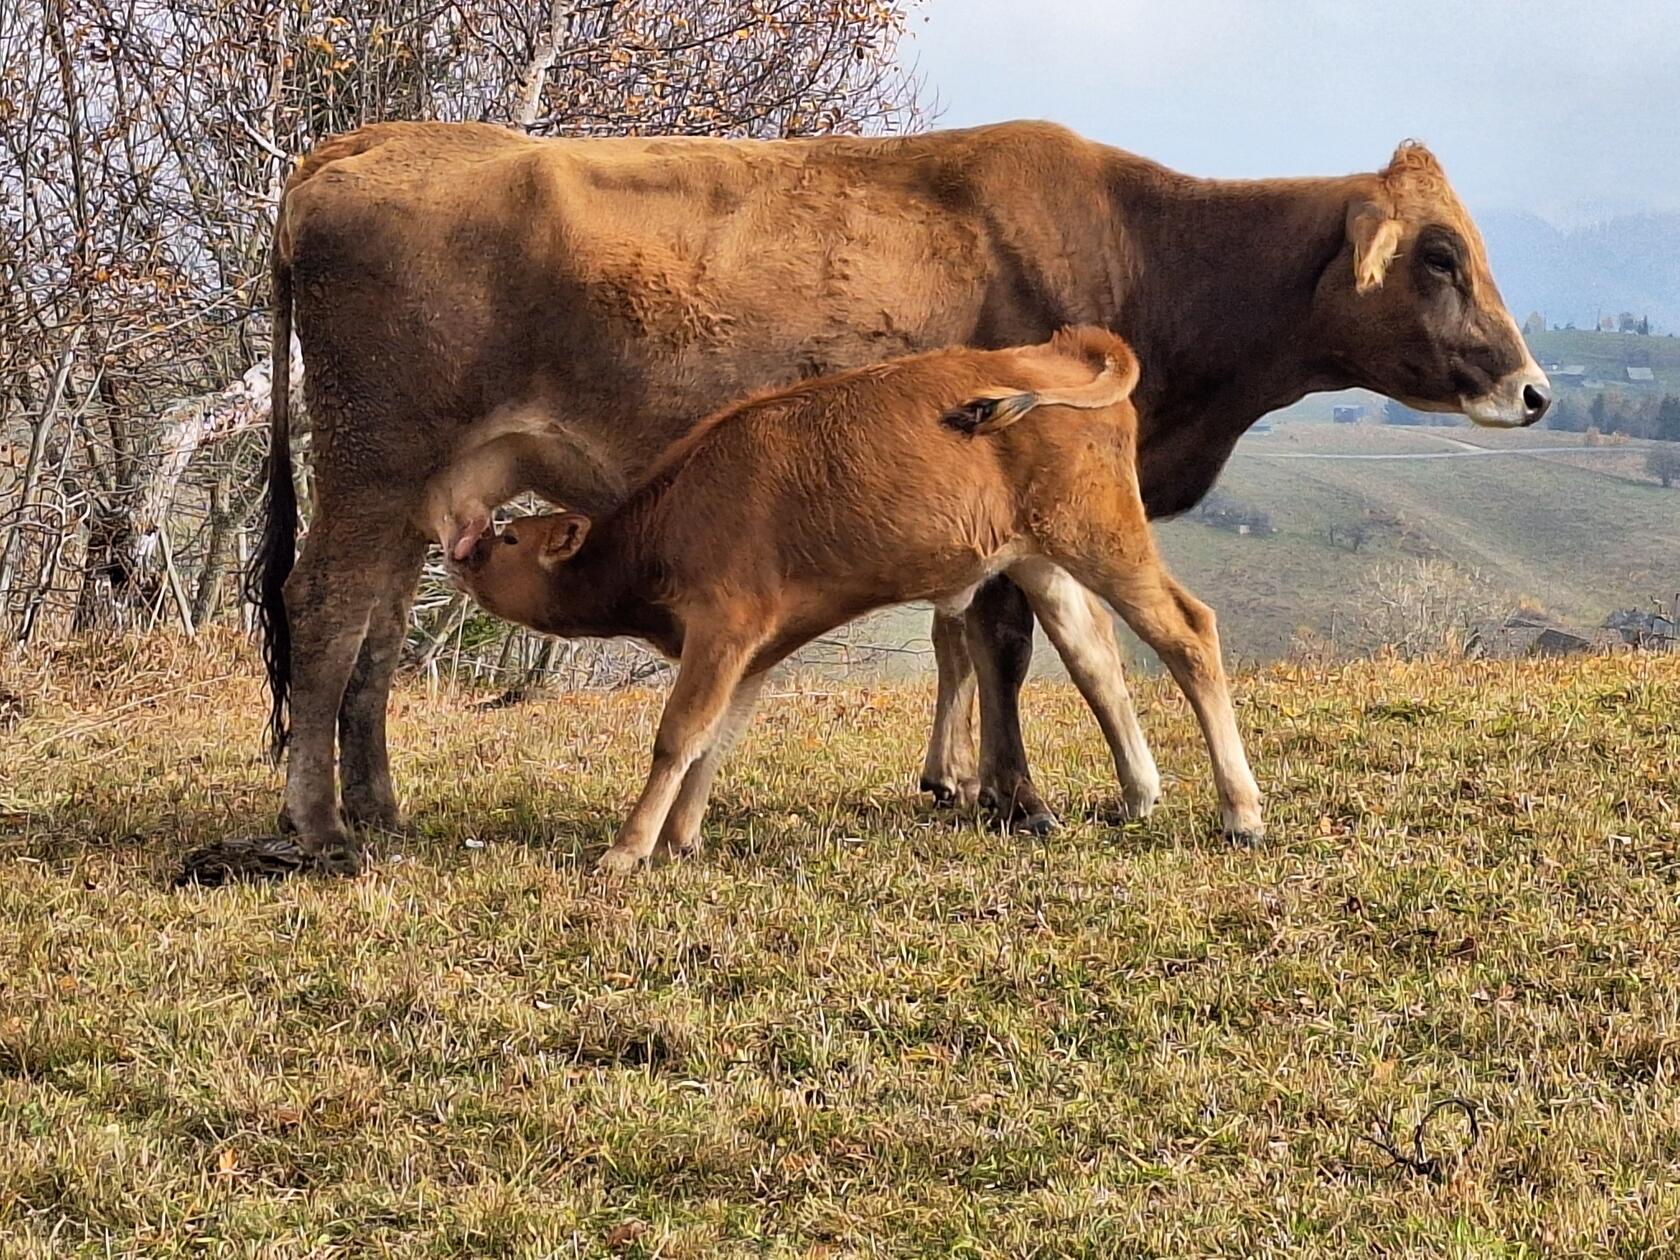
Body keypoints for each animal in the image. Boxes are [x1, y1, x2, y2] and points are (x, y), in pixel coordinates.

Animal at [446, 327, 1261, 872]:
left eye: (512, 538)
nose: (467, 548)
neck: (671, 517)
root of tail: (1051, 350)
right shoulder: (753, 651)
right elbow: (716, 738)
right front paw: (681, 838)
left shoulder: (722, 629)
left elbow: (678, 735)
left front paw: (626, 851)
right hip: (1041, 561)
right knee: (1095, 659)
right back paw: (1137, 795)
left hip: (1103, 538)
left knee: (1187, 633)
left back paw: (1240, 812)